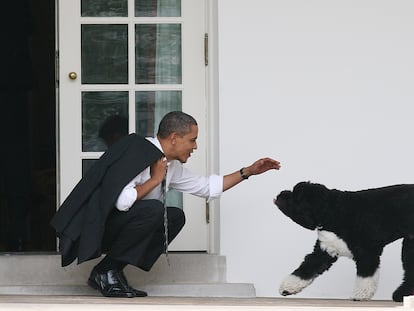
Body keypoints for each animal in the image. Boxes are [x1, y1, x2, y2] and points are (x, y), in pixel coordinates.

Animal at [274, 183, 414, 302]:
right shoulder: (324, 251)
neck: (332, 211)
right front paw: (287, 287)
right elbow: (305, 269)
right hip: (409, 246)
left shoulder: (367, 252)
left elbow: (365, 277)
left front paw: (360, 295)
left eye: (295, 196)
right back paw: (402, 295)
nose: (280, 194)